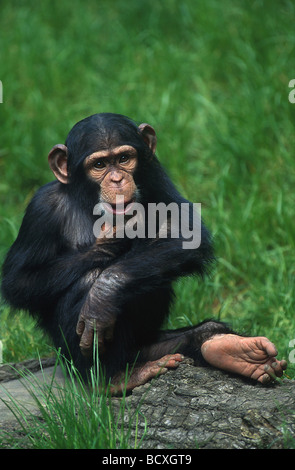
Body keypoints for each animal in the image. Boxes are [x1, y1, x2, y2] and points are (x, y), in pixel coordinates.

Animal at [1, 112, 288, 392]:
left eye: (124, 159)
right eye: (99, 165)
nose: (117, 179)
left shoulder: (155, 178)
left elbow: (184, 232)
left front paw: (104, 294)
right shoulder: (41, 209)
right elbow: (20, 282)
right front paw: (111, 242)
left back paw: (228, 348)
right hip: (69, 358)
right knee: (88, 279)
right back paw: (113, 378)